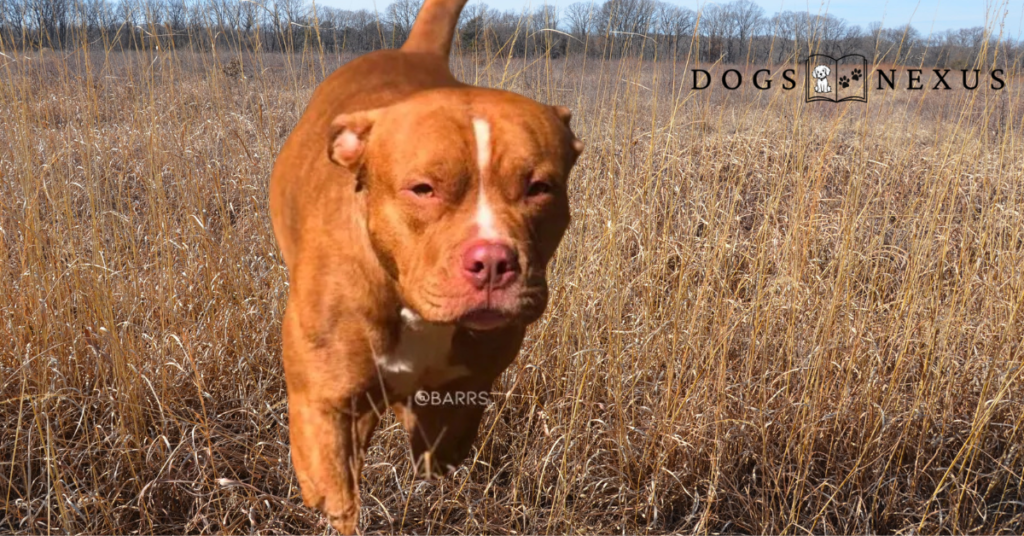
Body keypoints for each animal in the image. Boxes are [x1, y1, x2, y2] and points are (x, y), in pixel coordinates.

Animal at [268, 0, 581, 532]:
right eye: (423, 189)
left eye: (540, 188)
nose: (492, 261)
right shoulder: (322, 407)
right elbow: (339, 500)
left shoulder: (463, 393)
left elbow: (440, 443)